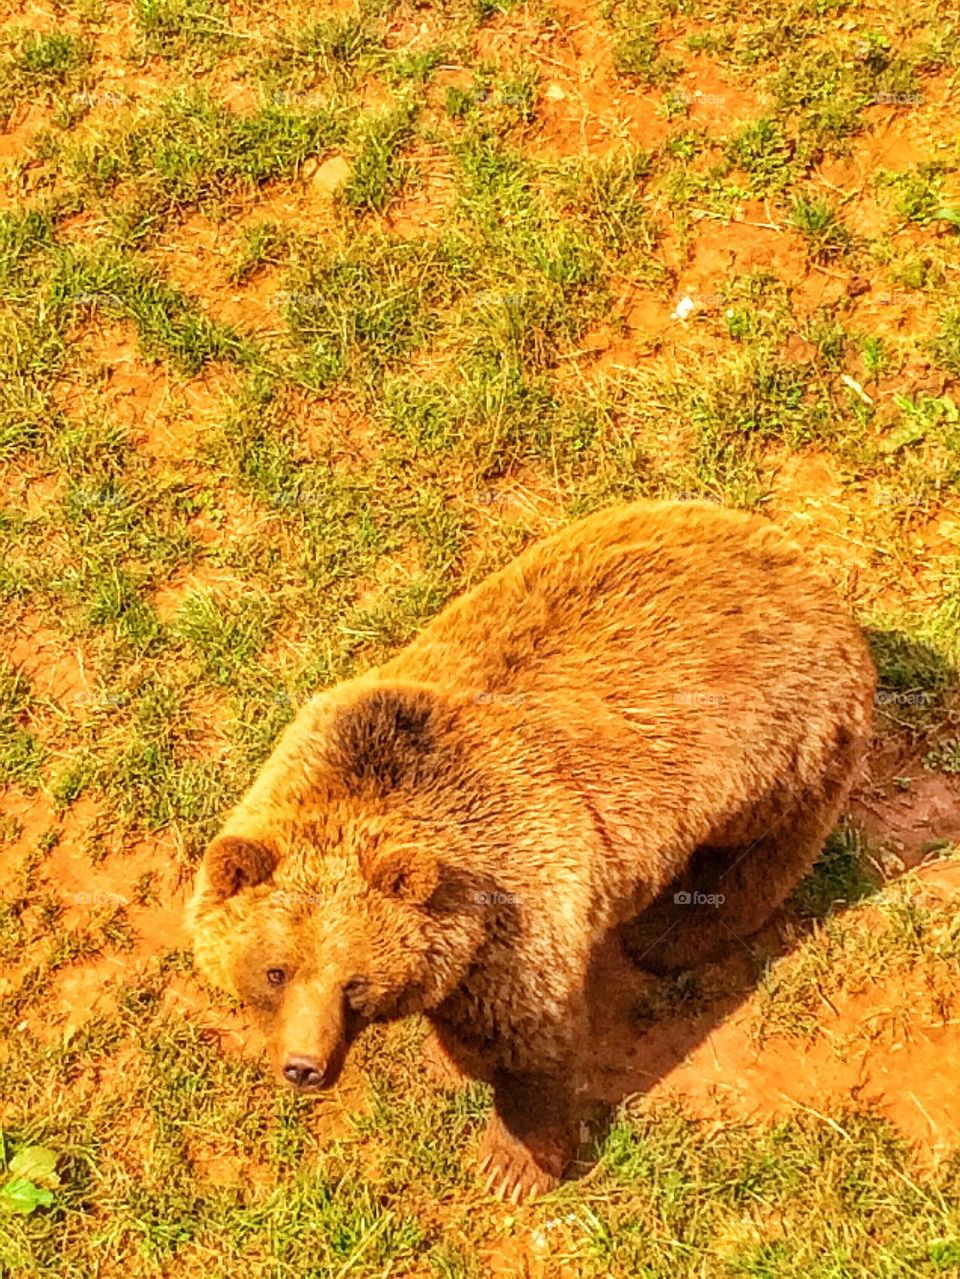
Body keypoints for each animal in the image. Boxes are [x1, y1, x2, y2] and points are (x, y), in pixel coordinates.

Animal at [186, 499, 875, 1203]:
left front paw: (514, 1163)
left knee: (760, 850)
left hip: (779, 743)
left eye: (354, 981)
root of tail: (801, 562)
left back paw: (670, 935)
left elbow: (529, 1040)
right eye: (276, 970)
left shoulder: (520, 895)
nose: (304, 1066)